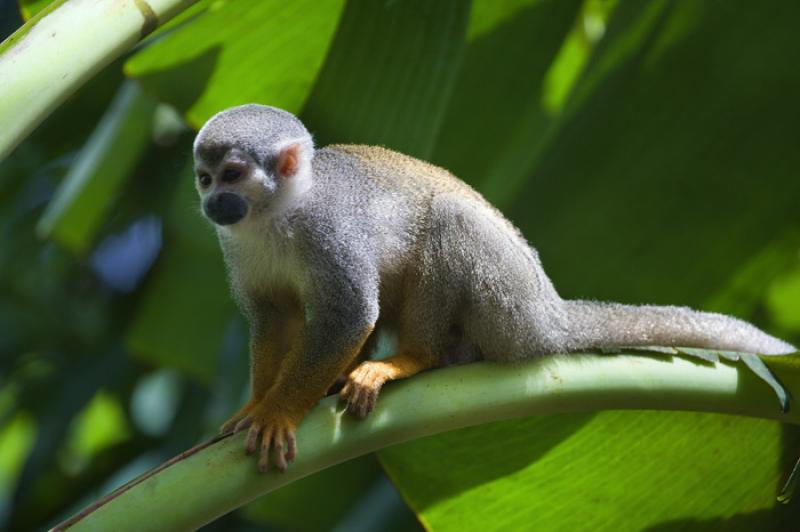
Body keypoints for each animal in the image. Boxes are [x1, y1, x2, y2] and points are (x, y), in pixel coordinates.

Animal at [192, 106, 792, 472]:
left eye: (233, 174)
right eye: (204, 178)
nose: (211, 203)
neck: (278, 215)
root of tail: (550, 315)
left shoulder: (330, 230)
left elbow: (349, 312)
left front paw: (280, 412)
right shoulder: (234, 245)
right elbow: (274, 317)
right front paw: (256, 404)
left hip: (507, 305)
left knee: (450, 220)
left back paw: (413, 359)